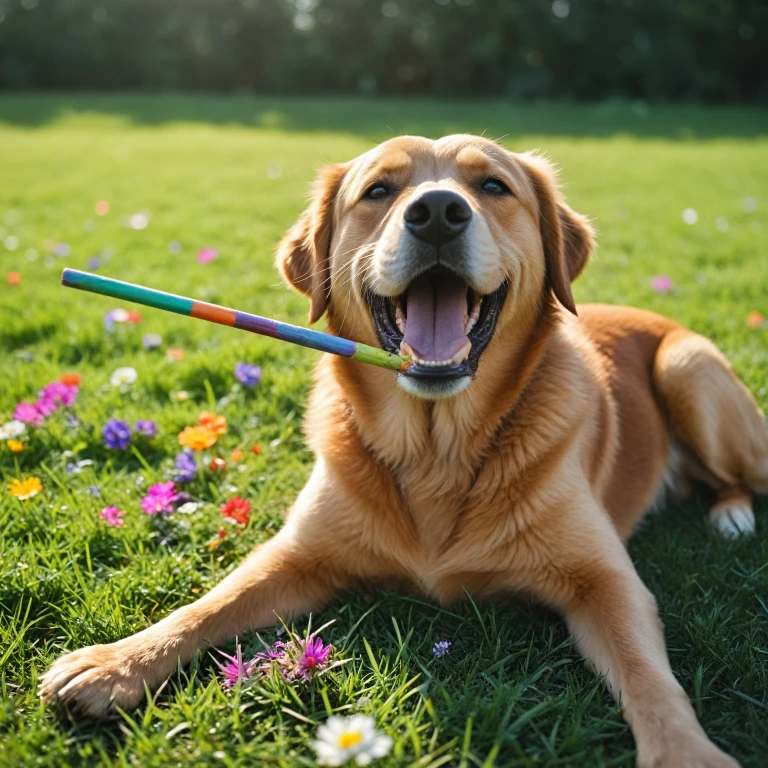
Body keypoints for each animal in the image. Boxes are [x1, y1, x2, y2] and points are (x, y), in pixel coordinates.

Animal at [43, 135, 768, 764]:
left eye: (493, 185)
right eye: (379, 190)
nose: (439, 212)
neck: (436, 448)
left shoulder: (606, 582)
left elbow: (648, 675)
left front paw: (688, 754)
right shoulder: (297, 555)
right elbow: (209, 604)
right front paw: (115, 662)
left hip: (688, 370)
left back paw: (731, 513)